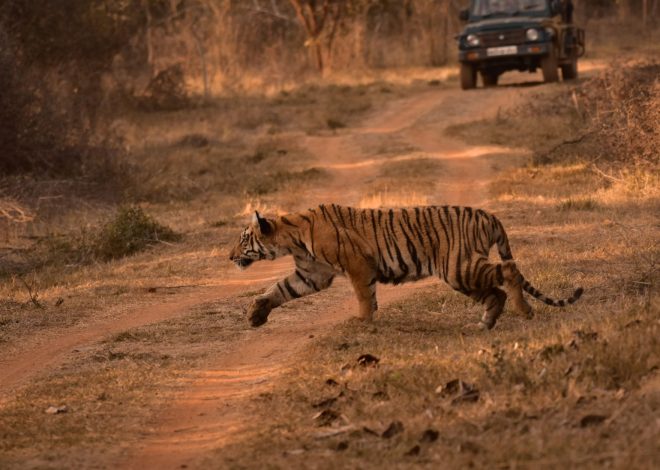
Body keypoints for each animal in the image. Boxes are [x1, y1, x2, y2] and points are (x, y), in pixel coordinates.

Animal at [229, 204, 583, 330]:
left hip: (459, 266)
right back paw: (486, 323)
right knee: (496, 292)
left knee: (508, 273)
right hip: (462, 274)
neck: (291, 238)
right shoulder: (312, 274)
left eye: (243, 239)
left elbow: (363, 295)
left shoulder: (357, 265)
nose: (229, 257)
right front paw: (256, 314)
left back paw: (525, 312)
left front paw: (362, 320)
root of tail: (488, 215)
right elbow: (279, 289)